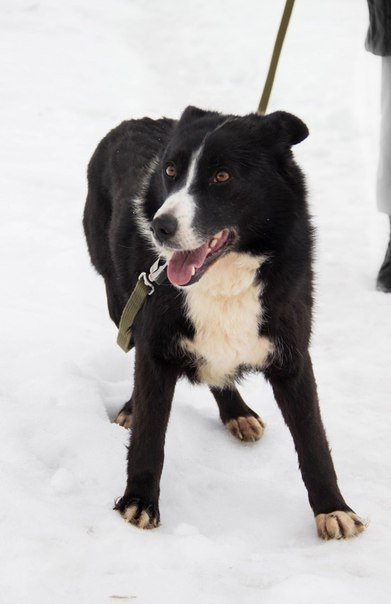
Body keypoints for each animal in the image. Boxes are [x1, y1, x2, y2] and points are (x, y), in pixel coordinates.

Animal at [83, 106, 368, 540]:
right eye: (170, 170)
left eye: (222, 176)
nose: (160, 227)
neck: (224, 278)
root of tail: (132, 121)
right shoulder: (154, 347)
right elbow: (150, 432)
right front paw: (139, 501)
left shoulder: (293, 357)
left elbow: (313, 440)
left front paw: (334, 509)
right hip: (120, 298)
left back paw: (237, 411)